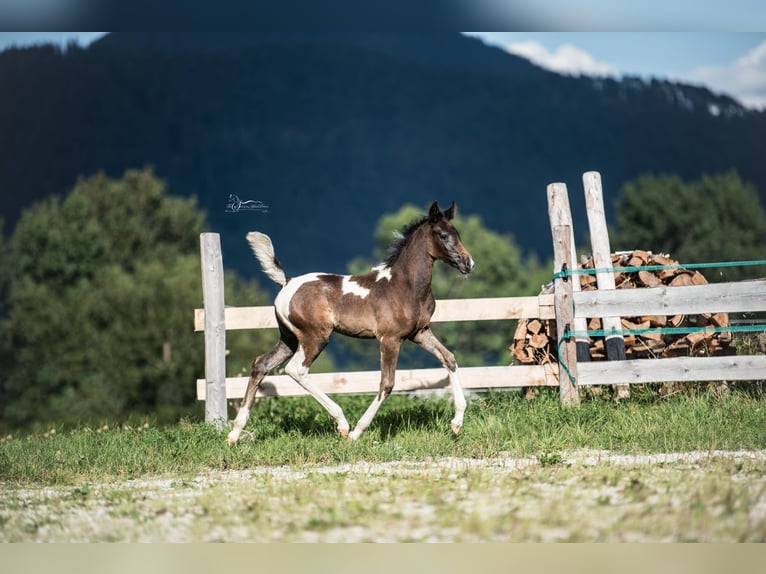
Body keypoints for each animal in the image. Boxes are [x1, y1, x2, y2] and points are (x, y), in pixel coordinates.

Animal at [228, 200, 476, 448]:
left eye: (458, 234)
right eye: (443, 235)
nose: (469, 263)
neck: (404, 287)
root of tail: (287, 283)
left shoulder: (420, 333)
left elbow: (449, 358)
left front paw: (457, 422)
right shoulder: (390, 339)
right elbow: (387, 384)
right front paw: (357, 433)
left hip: (289, 339)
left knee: (261, 364)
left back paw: (234, 433)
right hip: (314, 338)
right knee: (295, 370)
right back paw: (343, 424)